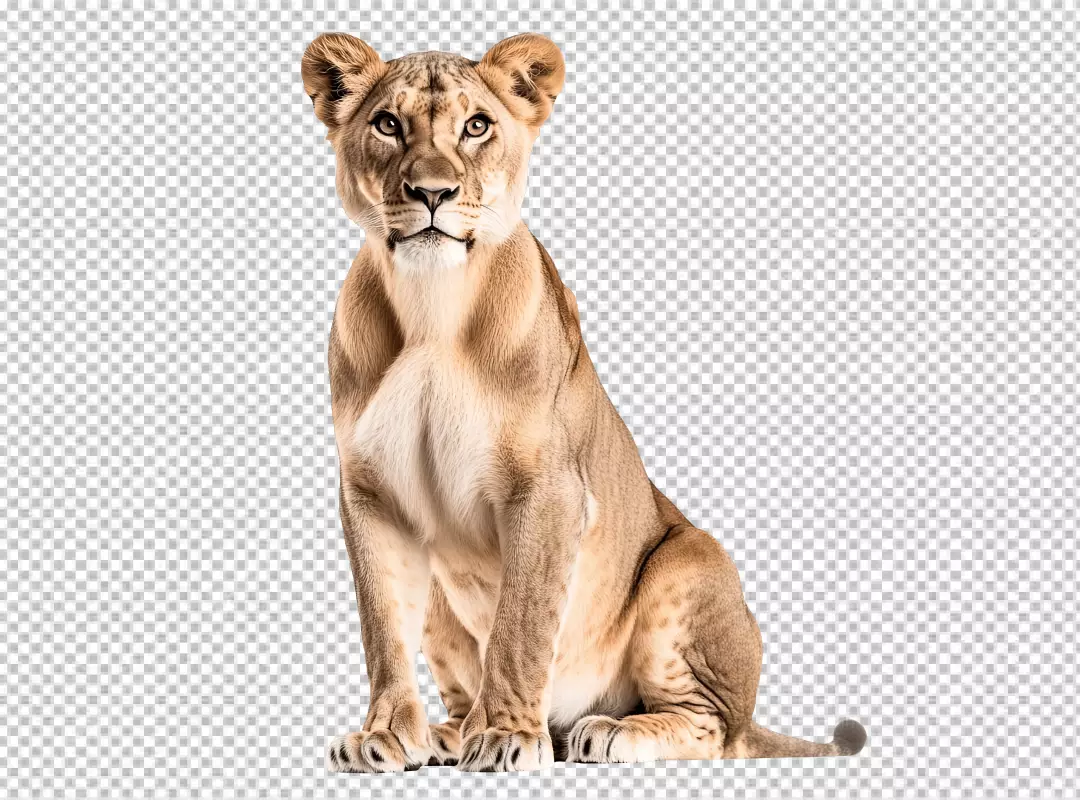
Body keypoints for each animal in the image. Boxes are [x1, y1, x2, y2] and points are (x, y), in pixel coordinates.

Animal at [302, 31, 866, 773]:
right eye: (388, 124)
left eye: (476, 126)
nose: (432, 192)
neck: (432, 308)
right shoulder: (371, 493)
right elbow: (382, 626)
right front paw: (388, 734)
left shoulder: (548, 489)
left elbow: (520, 621)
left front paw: (507, 736)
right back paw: (450, 732)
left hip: (688, 563)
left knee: (717, 728)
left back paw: (605, 731)